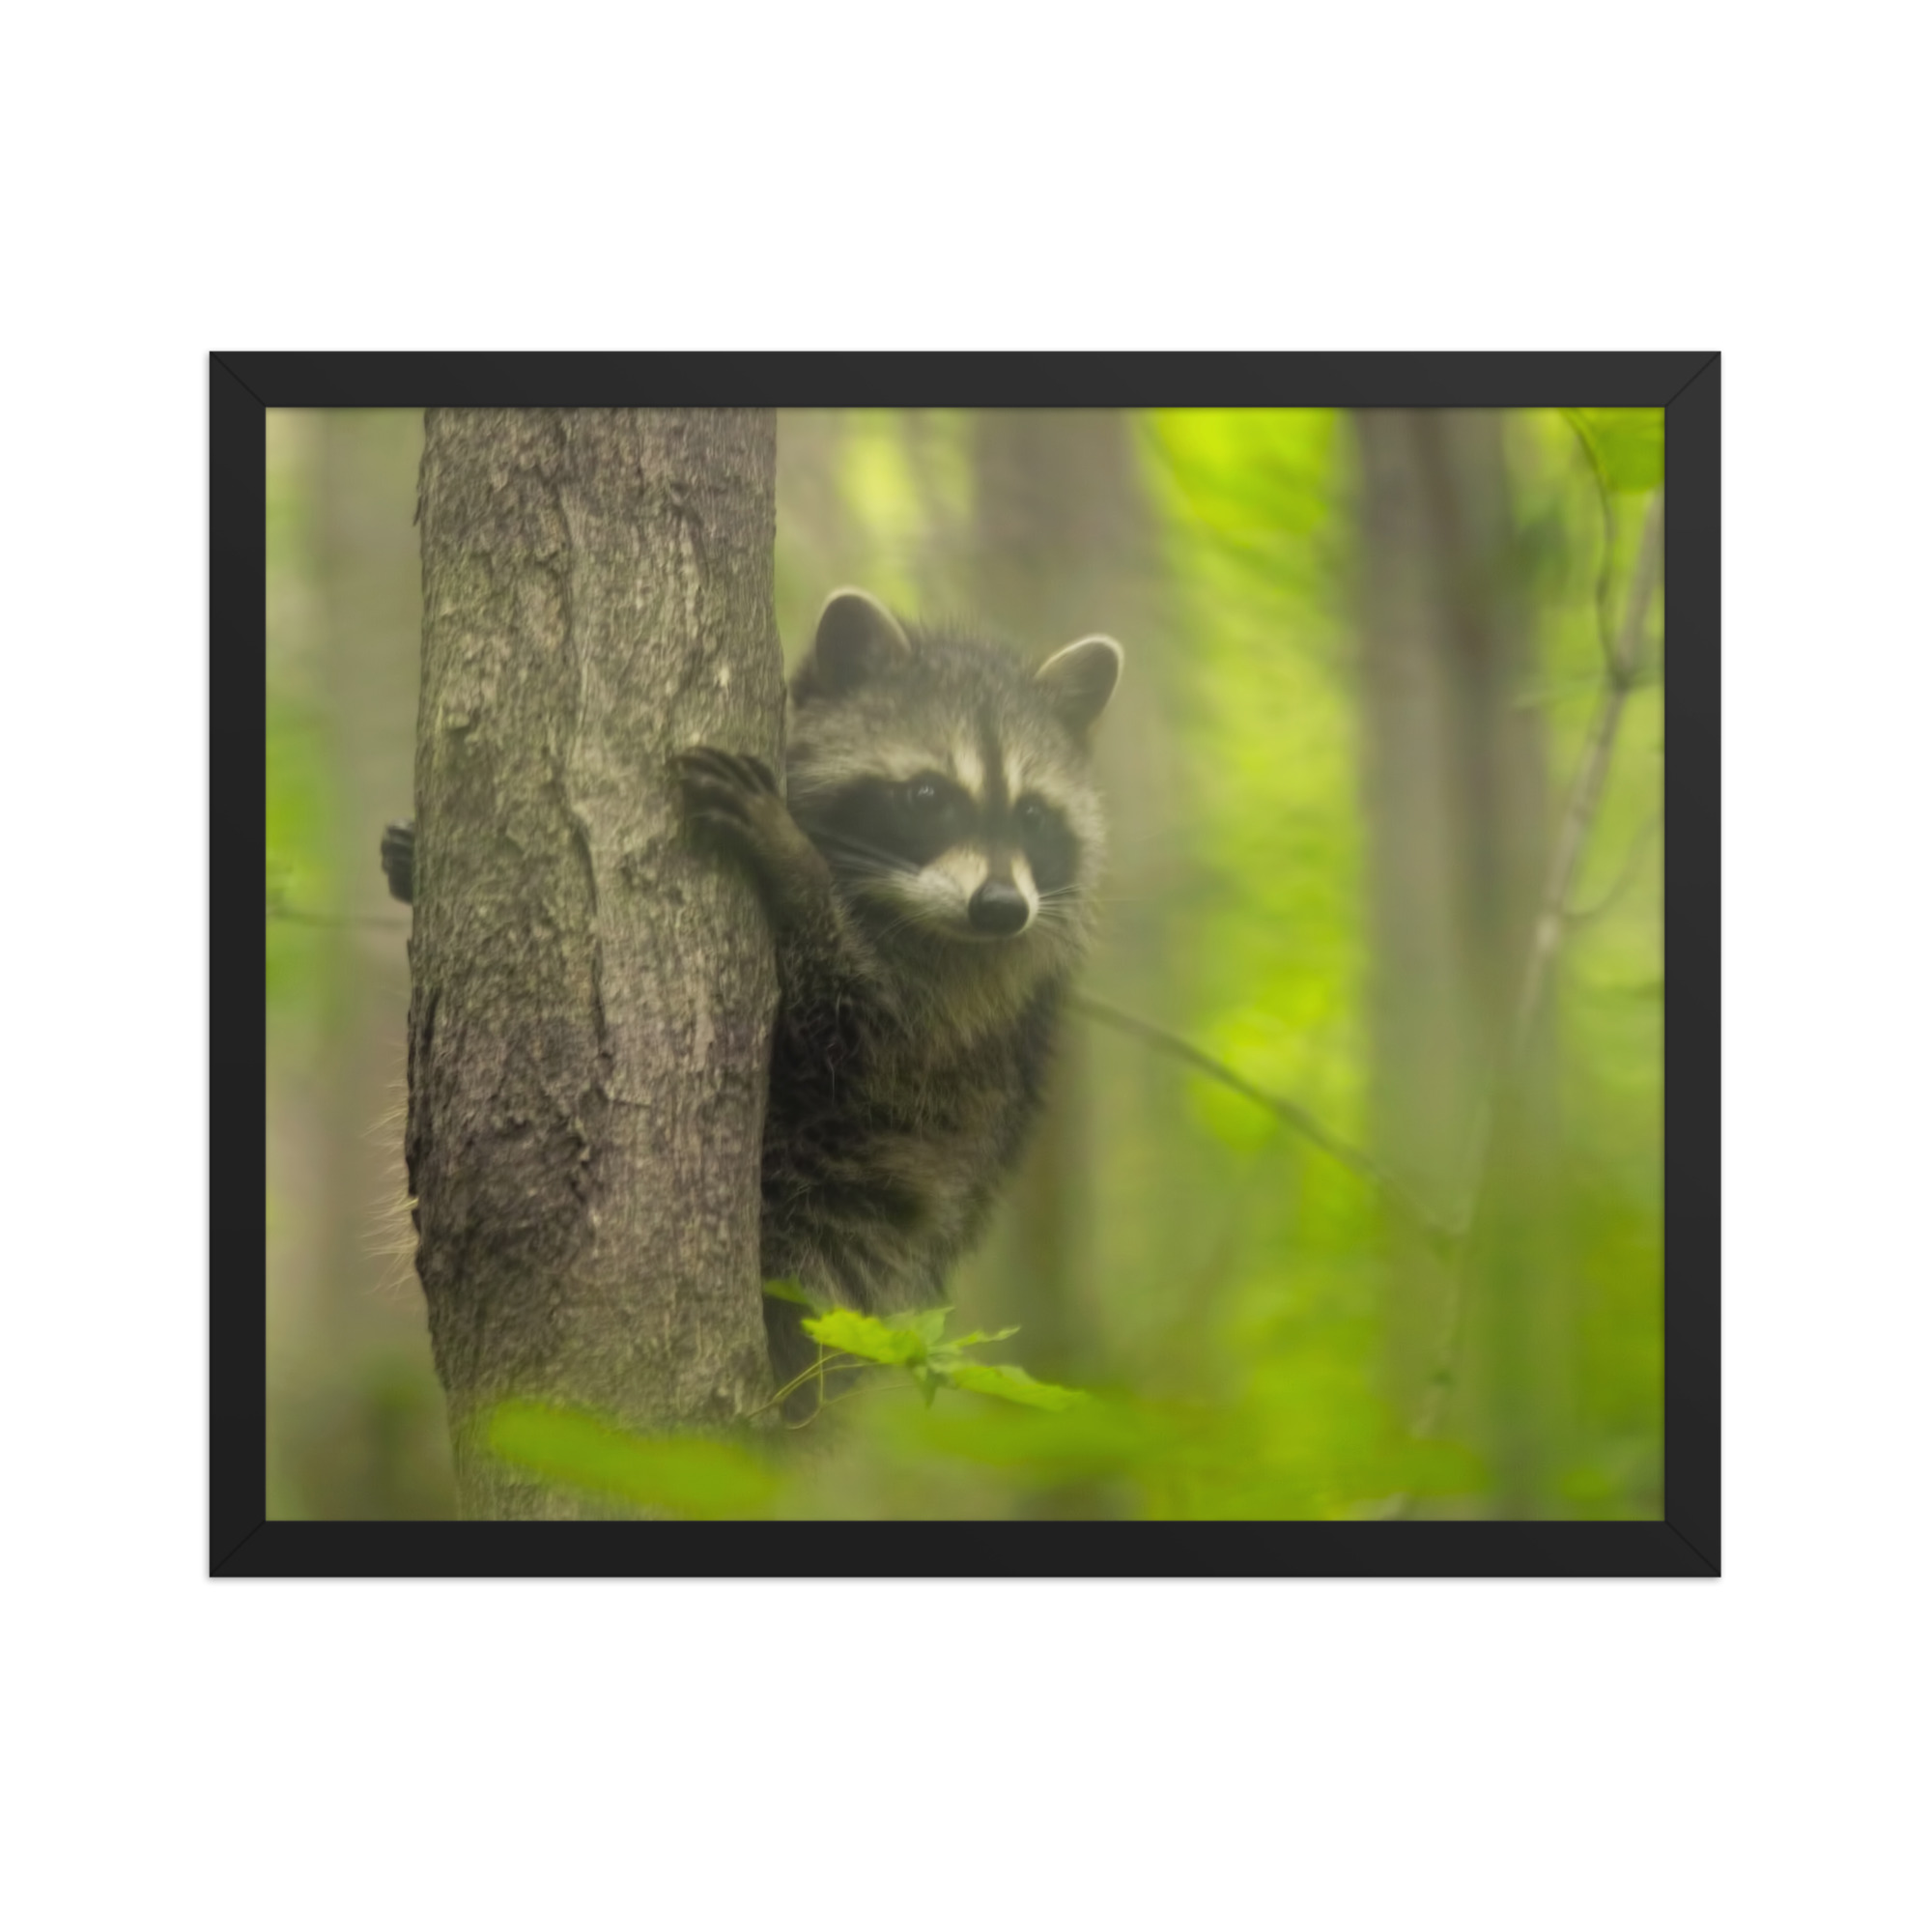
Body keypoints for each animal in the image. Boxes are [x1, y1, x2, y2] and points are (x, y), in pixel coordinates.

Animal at [383, 588, 1122, 1412]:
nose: (1000, 908)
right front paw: (411, 864)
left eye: (1032, 816)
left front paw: (792, 867)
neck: (895, 900)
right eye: (929, 796)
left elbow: (851, 1021)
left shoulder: (960, 1000)